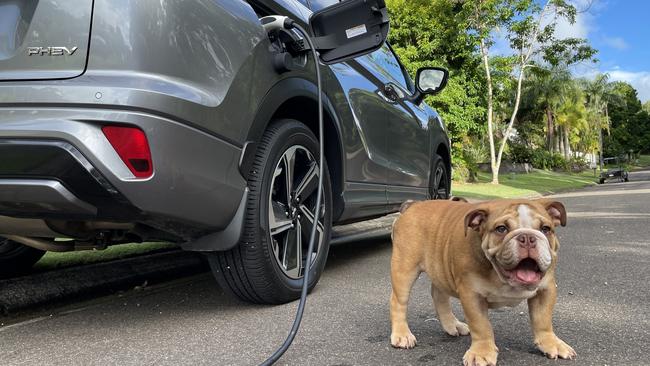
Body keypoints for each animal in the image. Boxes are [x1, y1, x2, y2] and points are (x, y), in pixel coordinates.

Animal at [384, 199, 572, 366]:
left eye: (546, 229)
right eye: (501, 229)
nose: (527, 237)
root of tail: (412, 205)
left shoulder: (545, 290)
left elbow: (543, 319)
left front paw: (551, 343)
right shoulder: (472, 295)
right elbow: (481, 326)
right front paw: (482, 353)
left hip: (440, 267)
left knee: (439, 295)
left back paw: (452, 325)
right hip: (405, 268)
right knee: (398, 301)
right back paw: (402, 335)